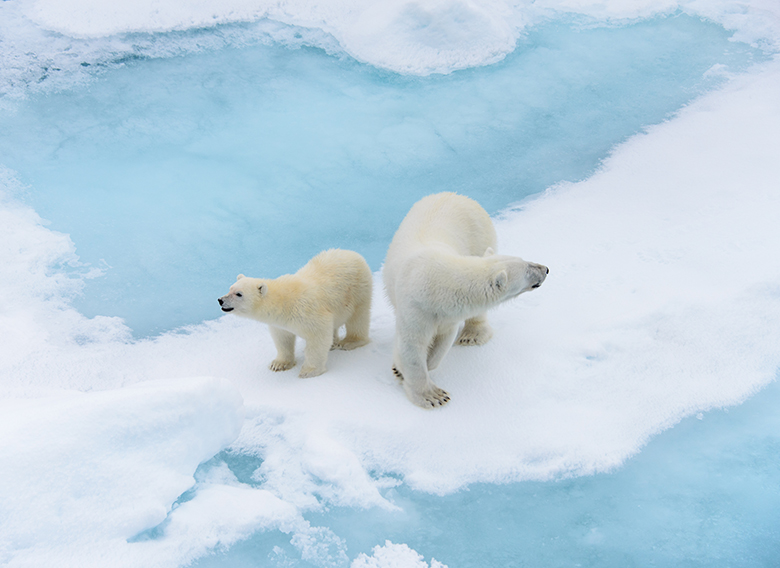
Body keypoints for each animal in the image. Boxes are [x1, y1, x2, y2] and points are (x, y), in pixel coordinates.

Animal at [384, 193, 548, 406]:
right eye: (527, 268)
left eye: (524, 260)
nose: (546, 269)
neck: (439, 282)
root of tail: (458, 195)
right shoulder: (416, 307)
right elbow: (412, 345)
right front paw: (431, 396)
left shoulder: (446, 314)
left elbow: (442, 341)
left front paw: (421, 368)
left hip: (480, 237)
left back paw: (472, 335)